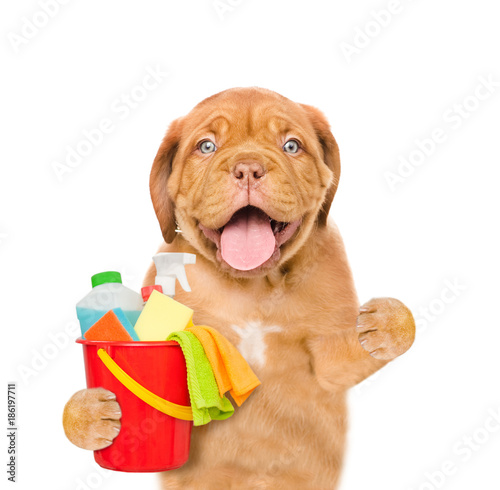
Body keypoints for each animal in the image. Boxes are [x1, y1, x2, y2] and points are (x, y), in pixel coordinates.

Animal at [63, 88, 414, 490]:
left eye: (291, 145)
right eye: (206, 146)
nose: (248, 168)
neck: (253, 287)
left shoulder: (326, 361)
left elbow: (348, 354)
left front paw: (389, 323)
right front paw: (87, 412)